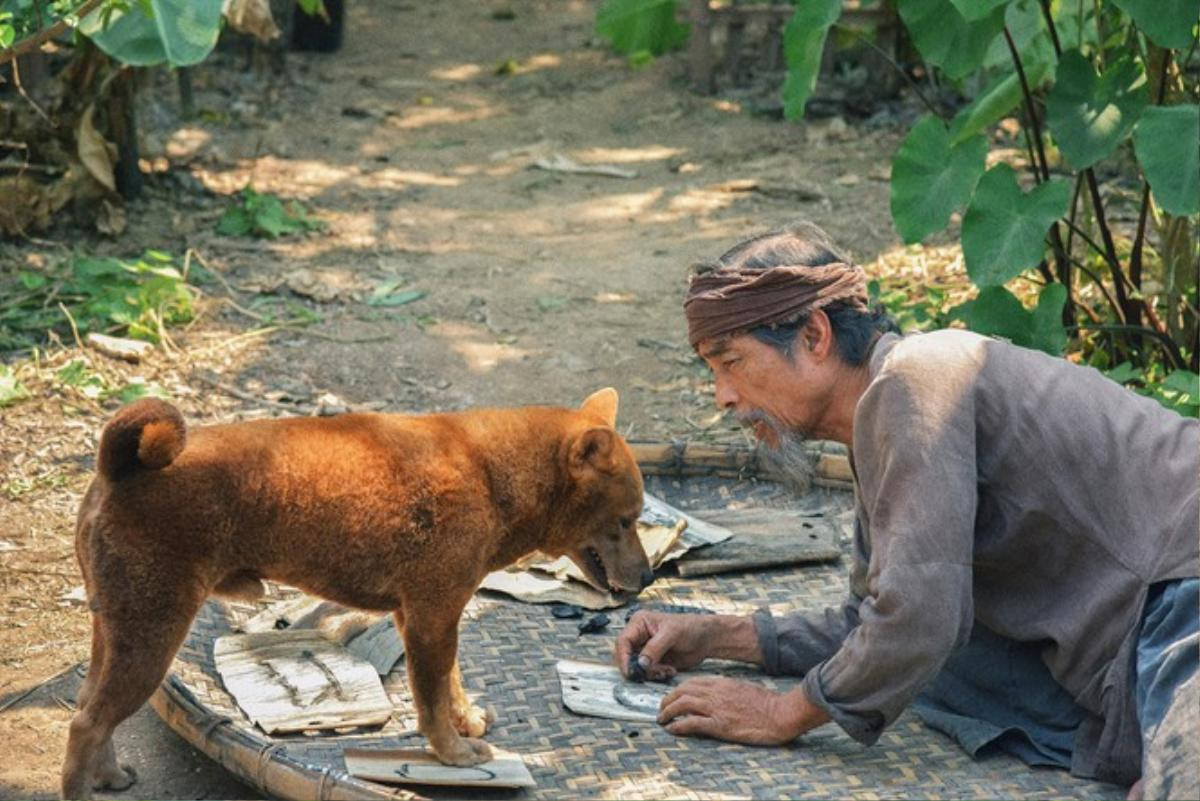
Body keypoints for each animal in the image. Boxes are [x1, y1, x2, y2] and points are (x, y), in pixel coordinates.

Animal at [62, 388, 652, 796]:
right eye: (626, 521)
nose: (648, 578)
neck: (490, 474)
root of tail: (117, 466)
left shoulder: (429, 615)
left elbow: (451, 683)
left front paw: (465, 721)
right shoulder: (431, 616)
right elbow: (430, 703)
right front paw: (455, 753)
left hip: (116, 631)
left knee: (90, 710)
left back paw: (109, 776)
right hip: (151, 637)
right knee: (85, 724)